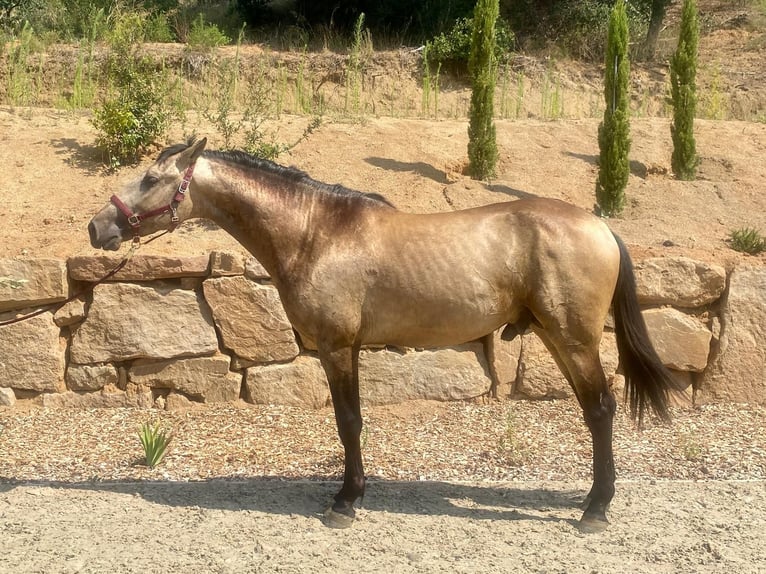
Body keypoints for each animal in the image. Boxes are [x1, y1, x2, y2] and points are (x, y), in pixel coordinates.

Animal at [88, 137, 679, 533]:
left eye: (149, 179)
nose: (97, 227)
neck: (315, 232)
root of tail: (601, 227)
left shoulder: (338, 347)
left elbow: (349, 422)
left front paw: (346, 502)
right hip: (559, 338)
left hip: (573, 339)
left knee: (599, 409)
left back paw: (595, 510)